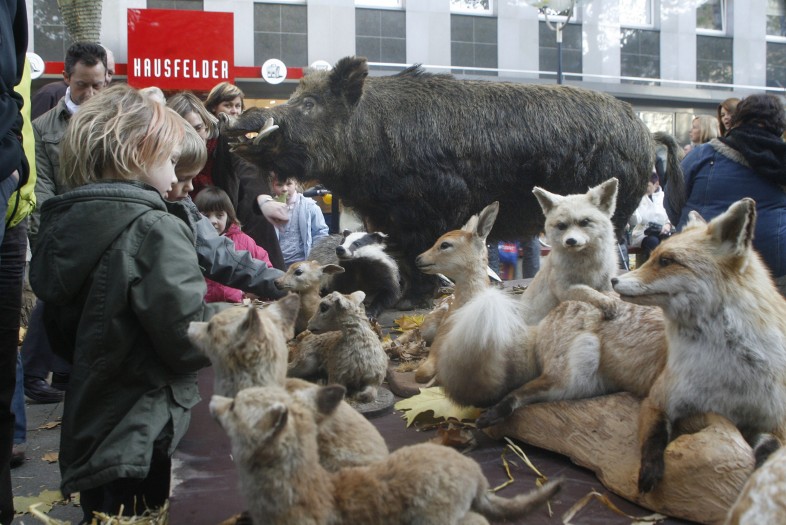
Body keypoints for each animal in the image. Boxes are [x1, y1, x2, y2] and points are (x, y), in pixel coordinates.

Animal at [612, 198, 786, 493]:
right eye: (653, 256)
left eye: (666, 261)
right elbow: (654, 437)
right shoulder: (659, 399)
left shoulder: (776, 421)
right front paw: (649, 470)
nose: (614, 279)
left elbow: (772, 449)